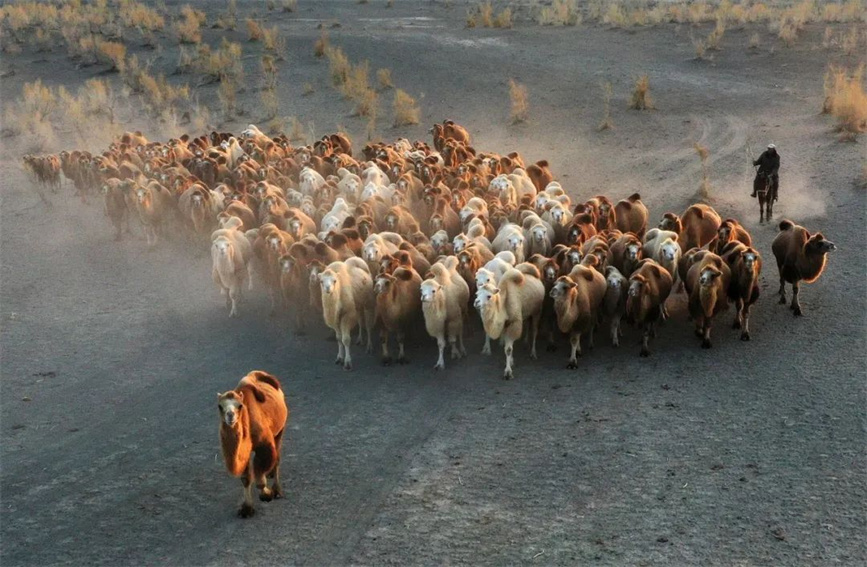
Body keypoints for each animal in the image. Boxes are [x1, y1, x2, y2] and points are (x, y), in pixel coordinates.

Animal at [218, 370, 289, 518]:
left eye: (240, 406)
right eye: (219, 406)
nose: (230, 415)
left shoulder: (265, 445)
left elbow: (260, 480)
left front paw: (267, 494)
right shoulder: (244, 451)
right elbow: (246, 478)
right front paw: (246, 509)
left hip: (280, 430)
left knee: (277, 457)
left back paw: (277, 490)